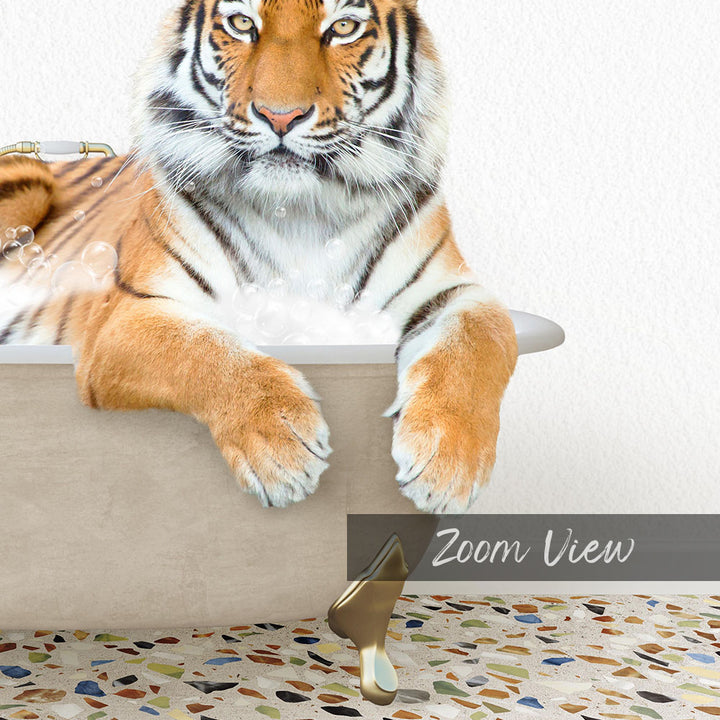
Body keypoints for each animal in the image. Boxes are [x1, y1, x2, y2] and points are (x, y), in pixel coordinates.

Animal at [0, 0, 518, 514]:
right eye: (242, 23)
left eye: (343, 27)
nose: (281, 117)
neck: (300, 213)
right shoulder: (125, 315)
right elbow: (204, 350)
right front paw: (282, 449)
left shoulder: (454, 290)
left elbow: (480, 340)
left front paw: (447, 464)